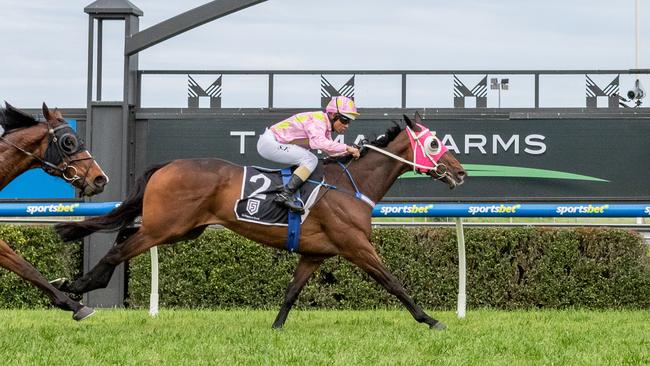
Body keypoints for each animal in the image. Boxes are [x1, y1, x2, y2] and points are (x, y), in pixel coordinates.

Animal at [53, 111, 464, 328]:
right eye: (434, 144)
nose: (460, 173)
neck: (352, 185)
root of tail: (167, 164)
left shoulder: (315, 254)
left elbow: (292, 291)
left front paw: (276, 327)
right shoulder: (356, 246)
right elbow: (394, 282)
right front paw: (430, 319)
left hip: (180, 229)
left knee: (124, 235)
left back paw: (77, 285)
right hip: (165, 227)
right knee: (119, 250)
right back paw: (78, 288)